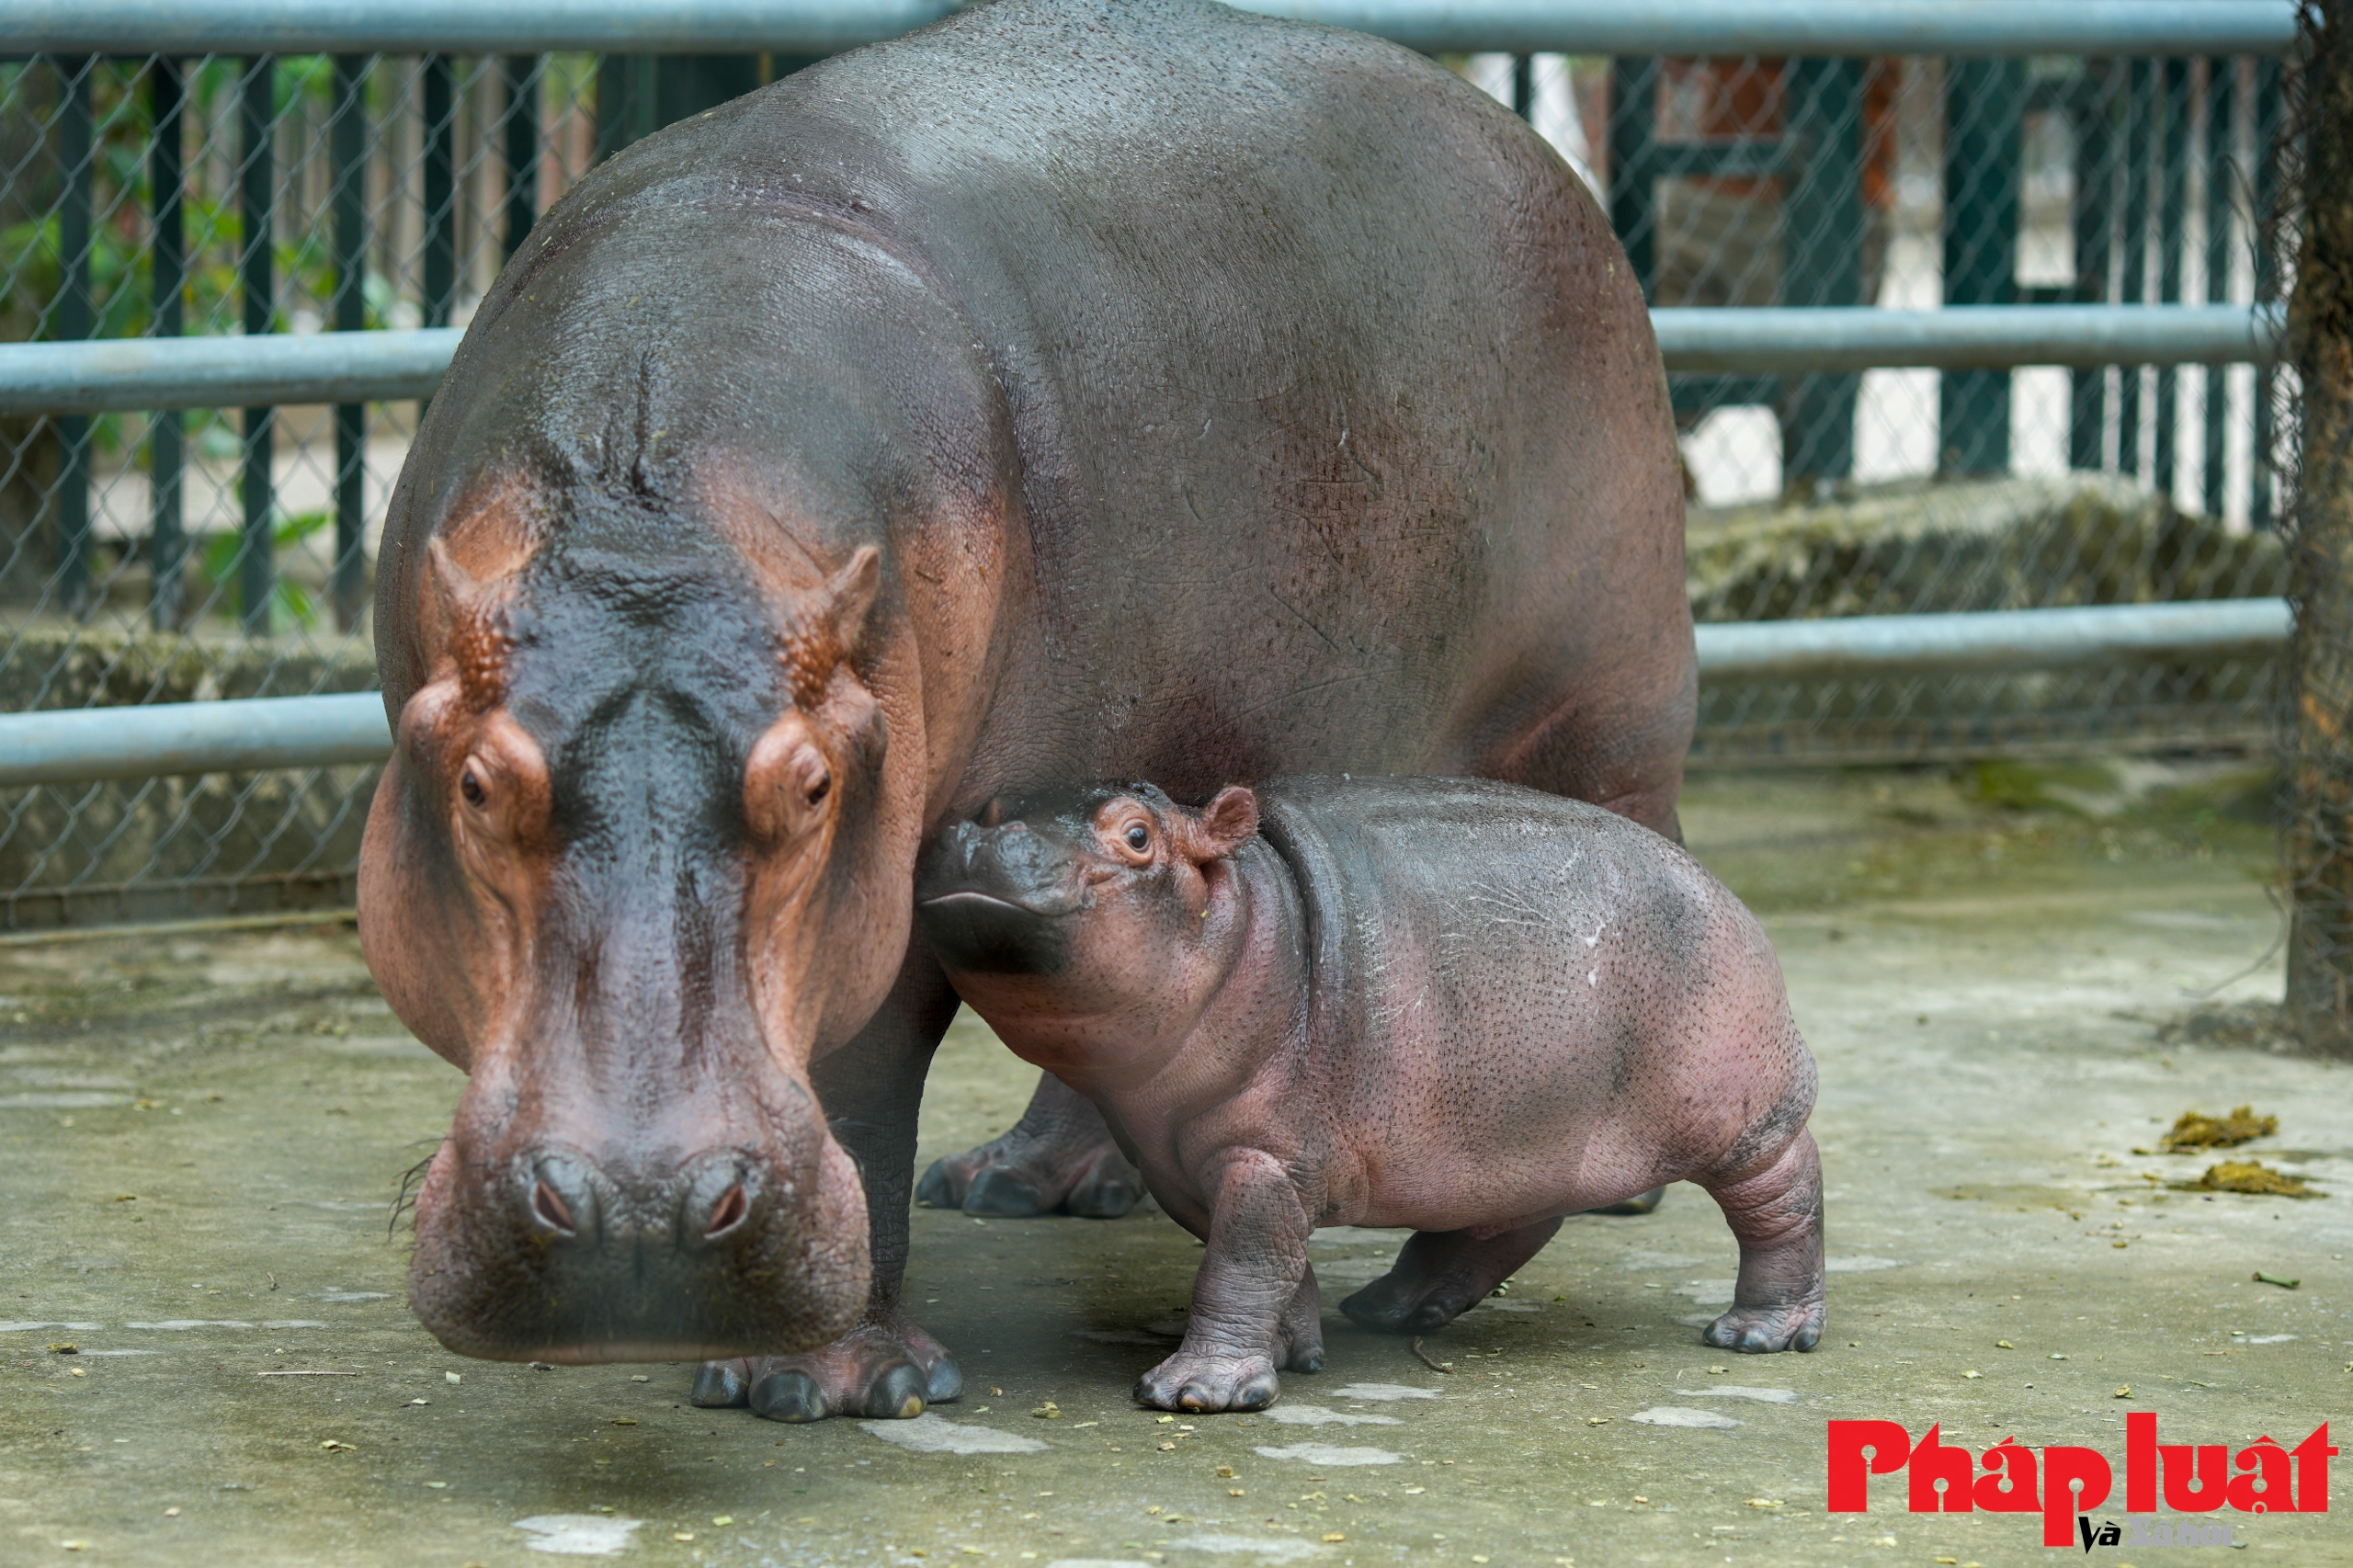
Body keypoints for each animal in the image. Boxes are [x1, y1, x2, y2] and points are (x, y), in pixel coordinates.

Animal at [358, 0, 1694, 1412]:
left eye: (816, 785)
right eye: (476, 782)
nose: (639, 1207)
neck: (659, 494)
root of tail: (1535, 149)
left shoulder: (904, 872)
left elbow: (864, 1078)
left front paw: (823, 1384)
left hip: (1608, 699)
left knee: (1635, 842)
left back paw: (1628, 1181)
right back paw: (1022, 1187)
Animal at [908, 767, 1825, 1403]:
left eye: (1137, 836)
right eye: (989, 804)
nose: (981, 842)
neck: (1245, 916)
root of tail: (1722, 890)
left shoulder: (1263, 1154)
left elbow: (1241, 1261)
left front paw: (1196, 1391)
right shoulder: (1177, 1157)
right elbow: (1267, 1260)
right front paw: (1295, 1352)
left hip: (1740, 1119)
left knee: (1786, 1201)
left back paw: (1759, 1334)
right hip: (1512, 1131)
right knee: (1505, 1224)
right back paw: (1390, 1310)